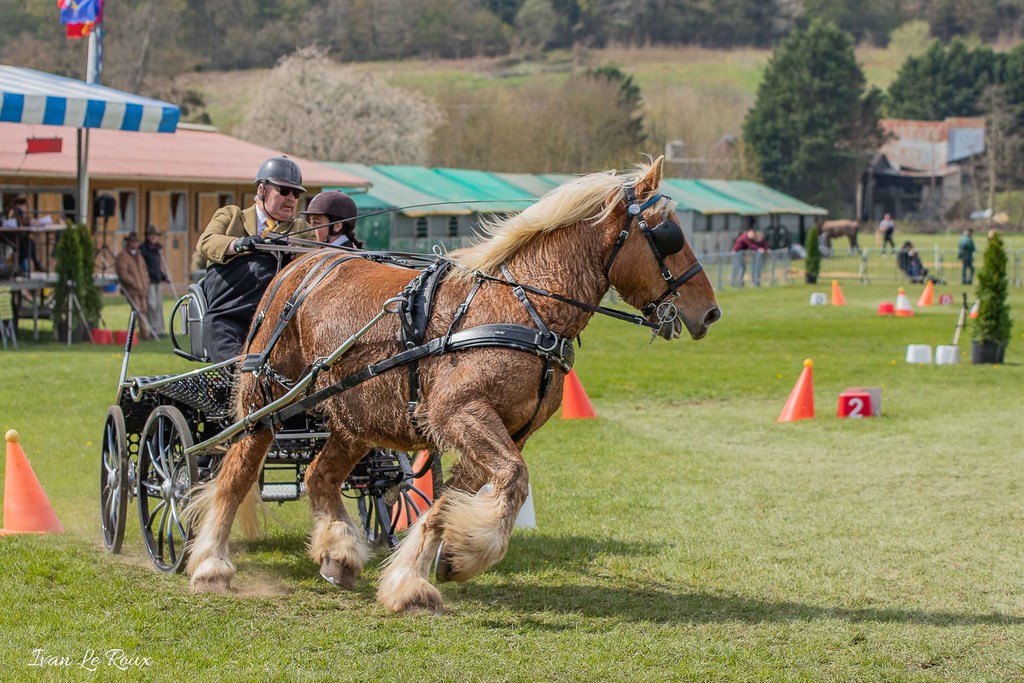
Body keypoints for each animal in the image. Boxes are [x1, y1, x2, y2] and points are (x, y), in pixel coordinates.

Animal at [188, 158, 724, 614]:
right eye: (668, 235)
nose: (711, 312)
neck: (524, 307)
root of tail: (301, 264)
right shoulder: (459, 414)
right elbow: (512, 481)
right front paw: (464, 559)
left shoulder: (500, 431)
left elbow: (447, 503)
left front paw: (412, 580)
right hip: (264, 397)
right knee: (235, 471)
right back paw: (211, 564)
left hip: (353, 418)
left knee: (321, 475)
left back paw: (338, 554)